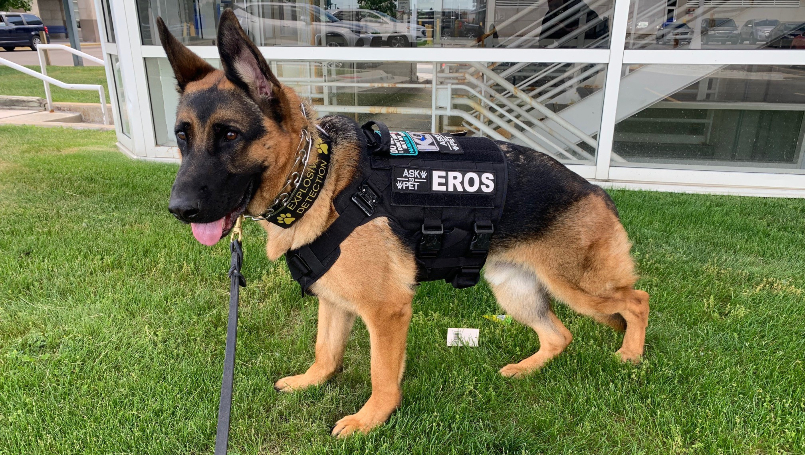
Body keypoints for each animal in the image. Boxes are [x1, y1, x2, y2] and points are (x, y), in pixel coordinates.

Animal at [157, 10, 648, 438]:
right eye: (182, 136)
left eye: (230, 135)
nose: (178, 209)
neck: (316, 178)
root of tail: (597, 191)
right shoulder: (333, 299)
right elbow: (325, 350)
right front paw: (311, 381)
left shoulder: (387, 310)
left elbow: (381, 374)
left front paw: (370, 419)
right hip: (515, 290)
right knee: (560, 334)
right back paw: (527, 369)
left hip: (580, 287)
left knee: (636, 301)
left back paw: (631, 354)